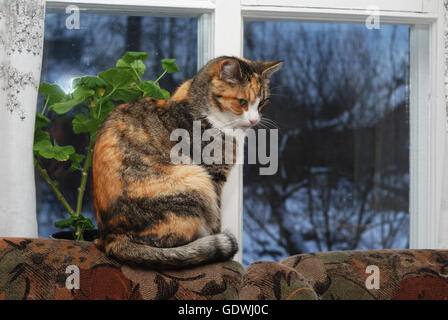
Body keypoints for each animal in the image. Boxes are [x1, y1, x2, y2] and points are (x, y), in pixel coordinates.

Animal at [91, 56, 282, 268]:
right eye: (242, 102)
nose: (254, 120)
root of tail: (113, 238)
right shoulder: (214, 176)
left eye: (262, 103)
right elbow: (218, 218)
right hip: (197, 180)